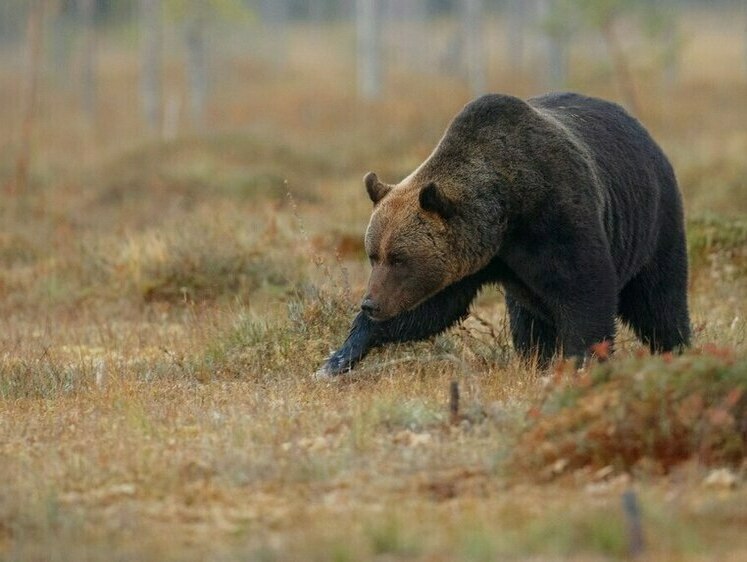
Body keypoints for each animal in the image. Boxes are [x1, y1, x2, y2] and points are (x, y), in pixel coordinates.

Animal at [314, 92, 688, 376]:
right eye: (373, 254)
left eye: (399, 258)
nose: (370, 303)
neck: (505, 214)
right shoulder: (472, 261)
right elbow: (429, 310)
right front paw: (337, 359)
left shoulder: (557, 218)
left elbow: (586, 291)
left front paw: (581, 362)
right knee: (528, 319)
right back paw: (535, 359)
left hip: (654, 220)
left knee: (660, 299)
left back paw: (677, 348)